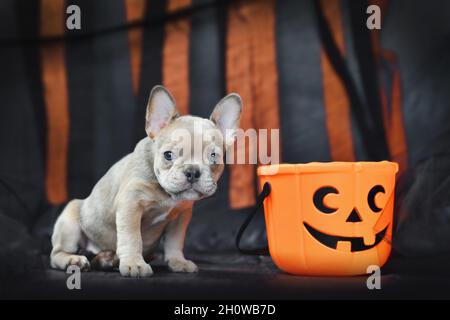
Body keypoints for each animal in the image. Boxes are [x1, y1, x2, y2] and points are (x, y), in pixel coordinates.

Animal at [50, 85, 243, 278]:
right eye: (168, 155)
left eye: (214, 157)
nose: (192, 172)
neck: (167, 194)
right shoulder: (130, 205)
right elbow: (132, 237)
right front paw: (134, 264)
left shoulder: (181, 216)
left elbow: (175, 241)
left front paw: (178, 261)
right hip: (70, 220)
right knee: (56, 254)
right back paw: (74, 260)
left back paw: (107, 259)